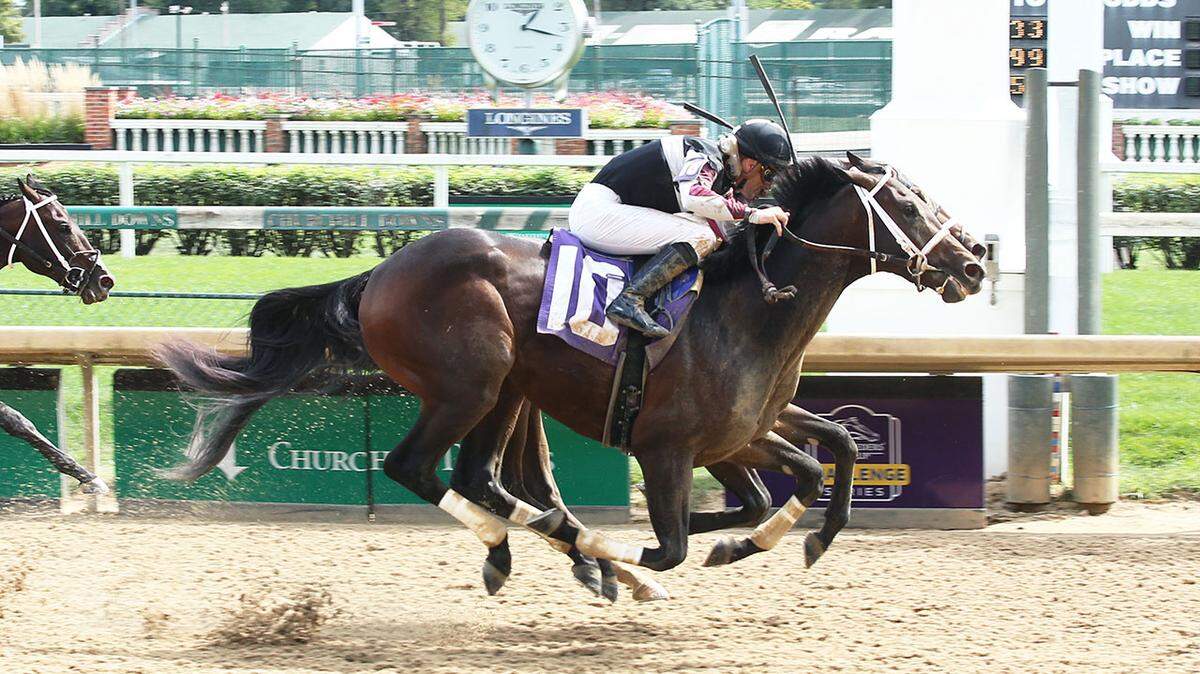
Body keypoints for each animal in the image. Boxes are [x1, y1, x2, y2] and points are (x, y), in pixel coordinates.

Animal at [1, 176, 115, 495]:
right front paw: (88, 476)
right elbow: (12, 417)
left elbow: (16, 419)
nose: (105, 280)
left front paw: (88, 475)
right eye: (64, 226)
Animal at [159, 154, 984, 597]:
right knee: (418, 468)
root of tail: (382, 272)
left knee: (483, 478)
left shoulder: (745, 430)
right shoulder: (670, 447)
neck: (749, 306)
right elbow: (675, 541)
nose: (975, 260)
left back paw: (531, 551)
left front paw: (779, 540)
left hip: (505, 392)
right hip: (470, 384)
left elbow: (825, 454)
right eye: (909, 202)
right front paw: (632, 561)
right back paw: (549, 551)